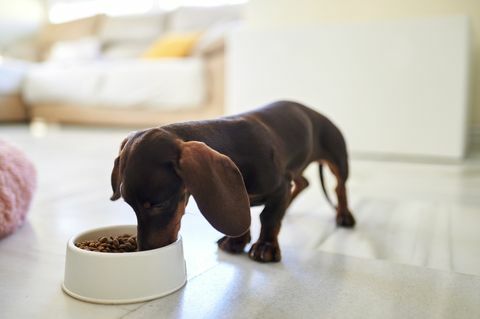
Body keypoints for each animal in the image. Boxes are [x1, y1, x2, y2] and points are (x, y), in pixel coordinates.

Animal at [110, 101, 354, 264]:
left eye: (159, 204)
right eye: (129, 205)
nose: (144, 250)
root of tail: (315, 112)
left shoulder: (280, 186)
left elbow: (270, 217)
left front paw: (266, 246)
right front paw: (237, 241)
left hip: (337, 159)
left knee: (339, 187)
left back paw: (344, 215)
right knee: (304, 182)